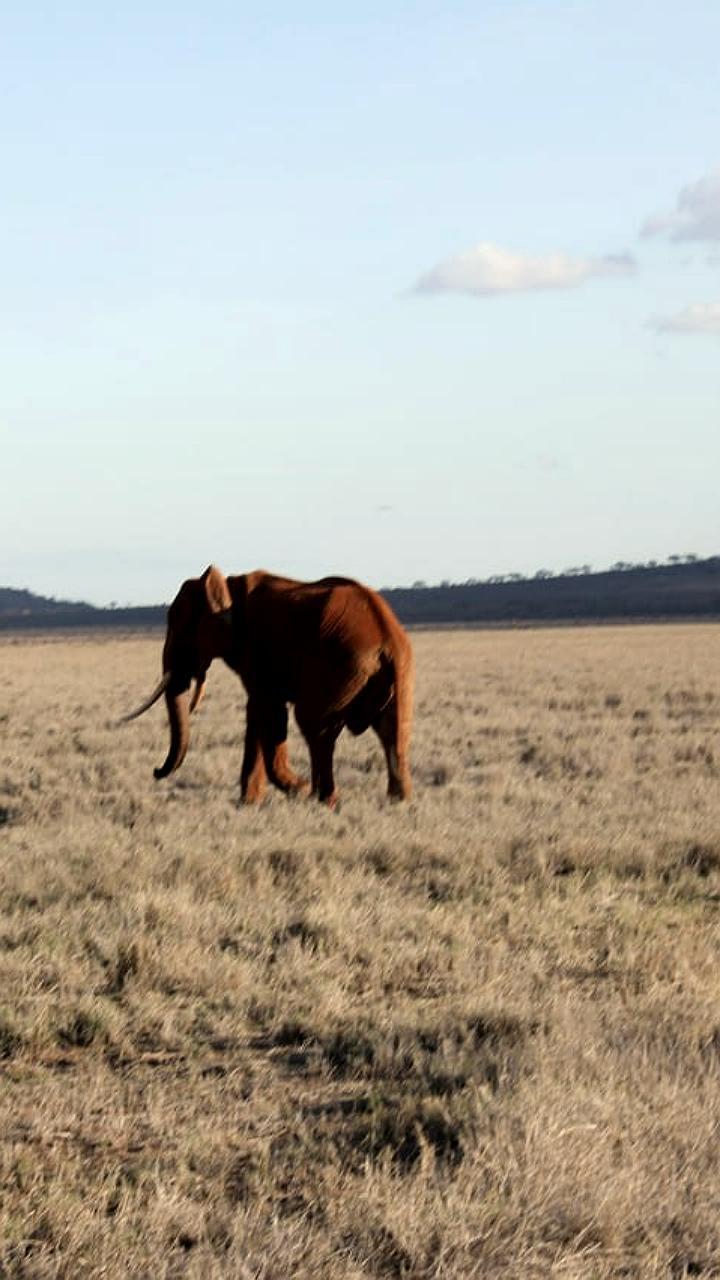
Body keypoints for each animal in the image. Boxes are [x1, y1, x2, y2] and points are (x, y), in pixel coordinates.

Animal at [122, 565, 412, 803]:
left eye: (181, 629)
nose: (155, 770)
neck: (227, 586)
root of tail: (387, 640)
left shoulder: (257, 647)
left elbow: (269, 713)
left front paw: (298, 789)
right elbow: (256, 715)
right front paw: (248, 803)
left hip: (340, 666)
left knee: (314, 726)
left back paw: (323, 799)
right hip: (396, 674)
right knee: (393, 731)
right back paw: (397, 802)